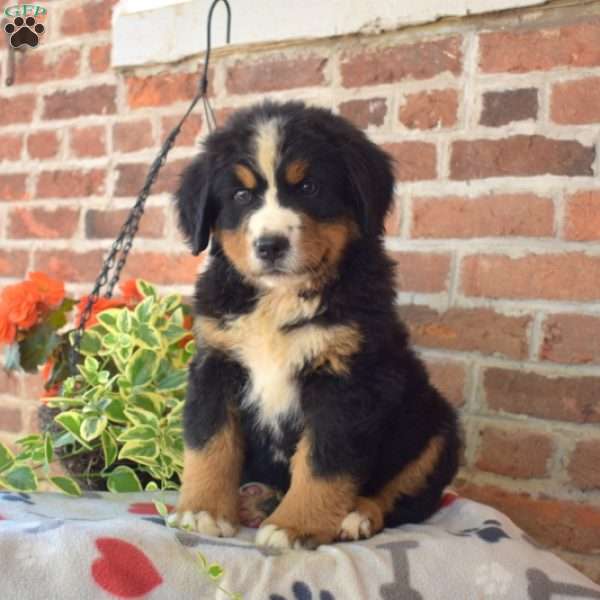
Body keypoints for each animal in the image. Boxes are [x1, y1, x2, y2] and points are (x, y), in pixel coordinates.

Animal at [169, 102, 460, 548]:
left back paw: (355, 515)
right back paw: (255, 499)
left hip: (435, 427)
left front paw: (296, 525)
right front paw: (204, 511)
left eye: (308, 187)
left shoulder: (347, 379)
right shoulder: (216, 363)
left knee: (403, 497)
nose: (270, 245)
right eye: (241, 195)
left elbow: (324, 461)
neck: (280, 298)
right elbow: (210, 443)